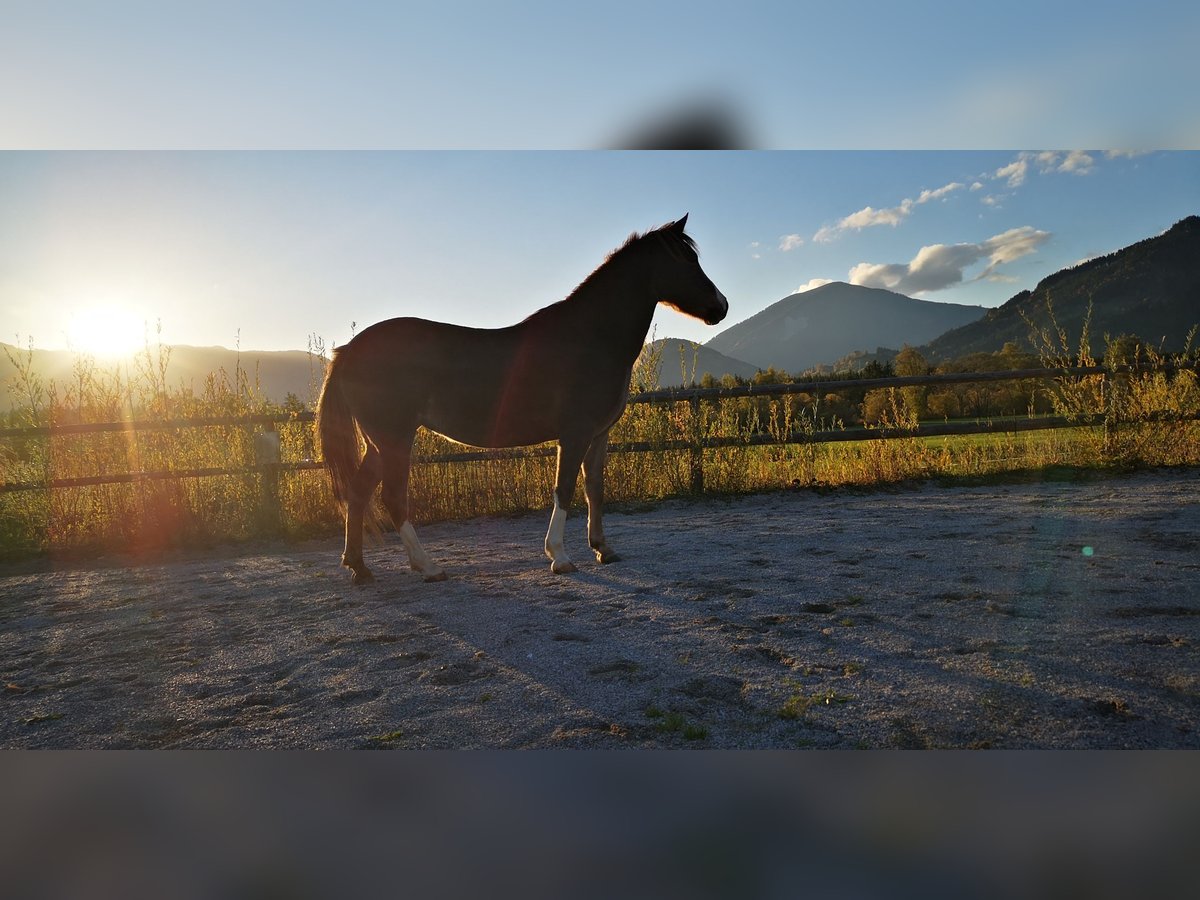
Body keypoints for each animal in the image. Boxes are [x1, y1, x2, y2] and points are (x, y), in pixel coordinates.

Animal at [316, 217, 720, 585]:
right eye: (688, 260)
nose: (722, 306)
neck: (590, 337)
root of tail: (348, 351)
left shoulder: (599, 434)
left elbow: (594, 488)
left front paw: (603, 549)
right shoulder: (574, 434)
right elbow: (564, 489)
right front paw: (559, 556)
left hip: (379, 443)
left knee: (358, 493)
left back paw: (359, 567)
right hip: (395, 439)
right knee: (393, 498)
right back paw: (427, 567)